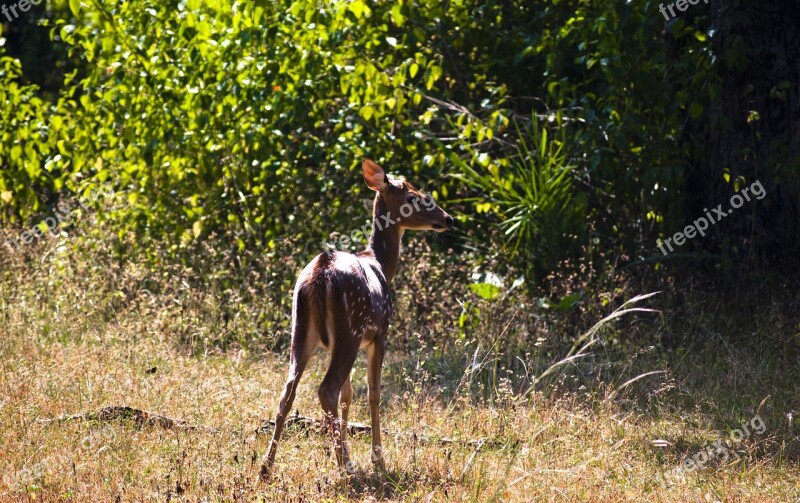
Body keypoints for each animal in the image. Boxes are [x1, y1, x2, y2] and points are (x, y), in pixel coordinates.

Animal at [260, 159, 454, 482]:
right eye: (414, 197)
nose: (448, 219)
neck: (380, 264)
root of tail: (320, 274)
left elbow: (348, 395)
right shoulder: (380, 334)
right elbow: (373, 393)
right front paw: (378, 461)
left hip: (301, 330)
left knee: (289, 390)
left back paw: (266, 467)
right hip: (350, 329)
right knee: (326, 388)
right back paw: (347, 467)